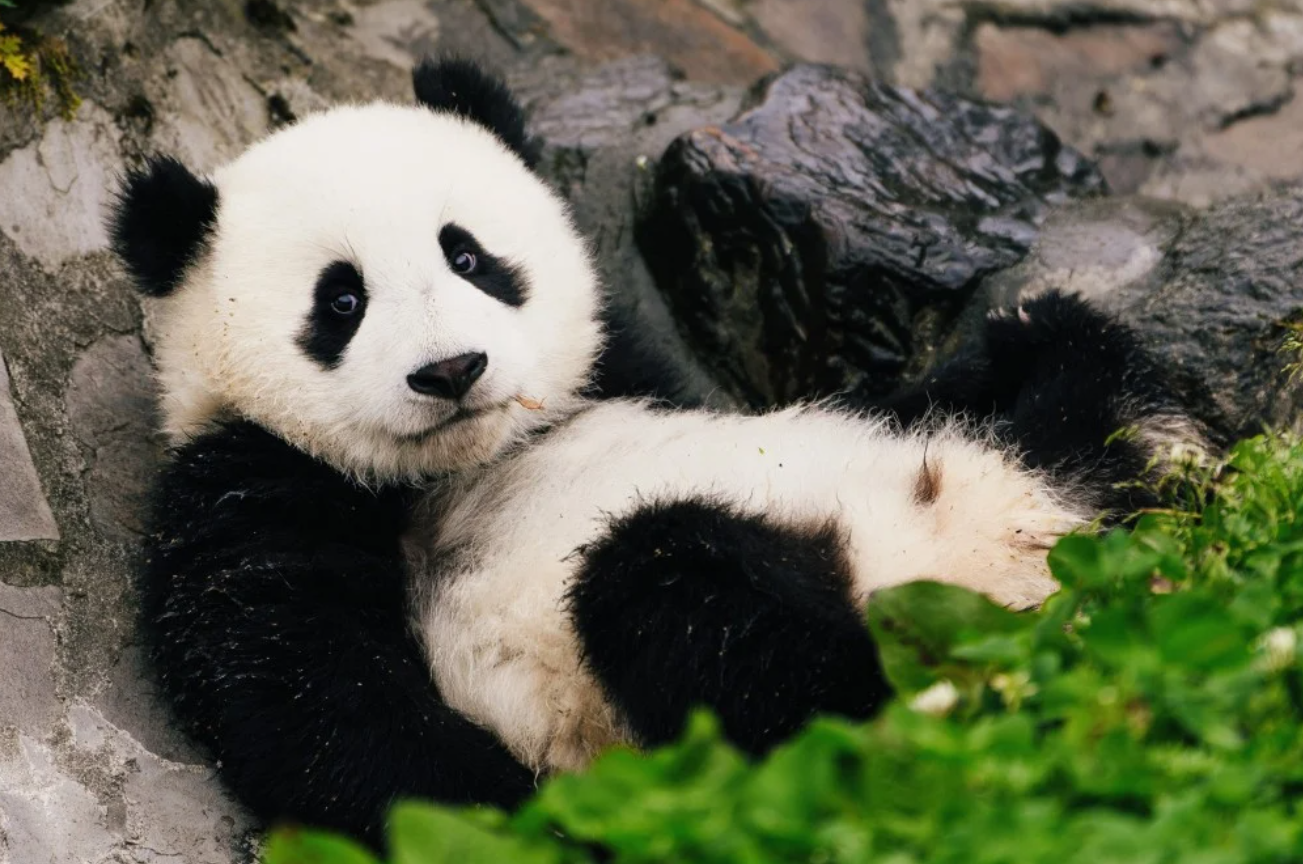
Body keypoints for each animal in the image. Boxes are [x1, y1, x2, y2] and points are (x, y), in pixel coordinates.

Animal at [108, 58, 1204, 842]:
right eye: (341, 301)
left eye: (469, 256)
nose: (453, 369)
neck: (473, 458)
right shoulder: (249, 488)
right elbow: (315, 704)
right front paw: (523, 819)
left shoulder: (624, 369)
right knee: (677, 592)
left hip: (1037, 486)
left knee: (1068, 382)